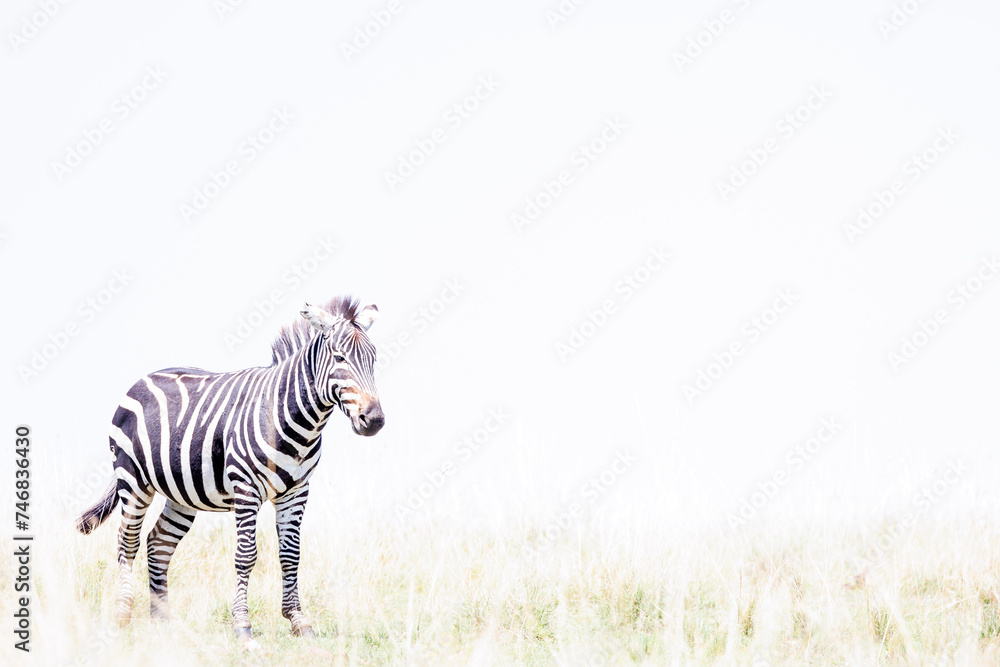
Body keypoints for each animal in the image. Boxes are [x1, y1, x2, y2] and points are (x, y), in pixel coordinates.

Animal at [75, 297, 384, 639]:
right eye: (340, 358)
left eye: (373, 360)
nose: (374, 420)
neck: (294, 420)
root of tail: (144, 378)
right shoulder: (246, 488)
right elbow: (246, 555)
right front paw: (242, 624)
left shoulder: (297, 492)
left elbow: (291, 555)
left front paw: (298, 620)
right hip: (133, 481)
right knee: (127, 542)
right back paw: (122, 614)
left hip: (181, 493)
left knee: (158, 543)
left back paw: (162, 620)